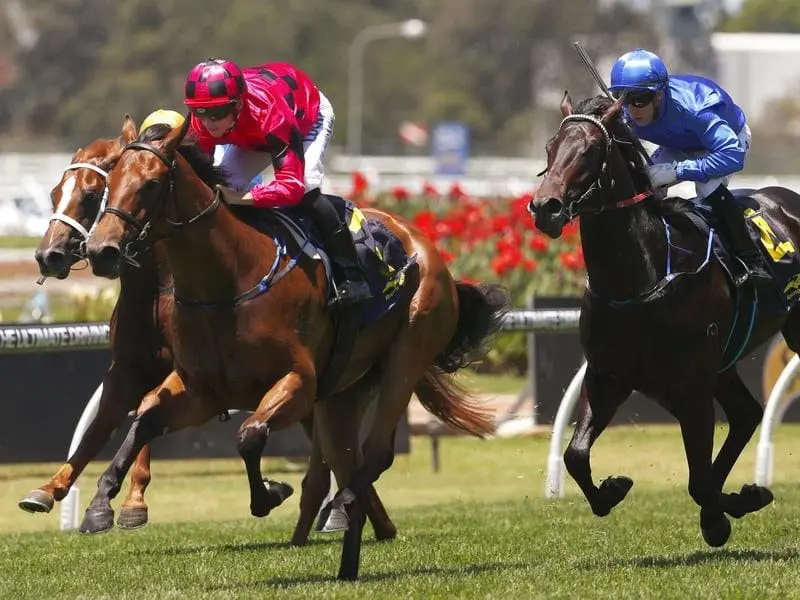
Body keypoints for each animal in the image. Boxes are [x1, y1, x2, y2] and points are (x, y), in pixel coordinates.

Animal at [24, 126, 396, 544]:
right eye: (55, 192)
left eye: (91, 194)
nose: (48, 255)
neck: (159, 285)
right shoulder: (128, 367)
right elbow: (102, 425)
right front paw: (53, 491)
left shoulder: (180, 371)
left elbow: (146, 408)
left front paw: (132, 503)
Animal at [84, 118, 504, 580]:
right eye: (109, 184)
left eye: (151, 184)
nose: (100, 250)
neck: (227, 280)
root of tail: (426, 249)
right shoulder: (202, 393)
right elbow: (144, 420)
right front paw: (100, 504)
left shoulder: (298, 382)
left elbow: (249, 436)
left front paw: (270, 493)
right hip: (344, 392)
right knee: (347, 456)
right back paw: (347, 557)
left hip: (406, 357)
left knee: (375, 455)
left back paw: (340, 505)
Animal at [524, 94, 800, 548]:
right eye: (550, 147)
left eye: (589, 150)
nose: (546, 207)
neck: (641, 278)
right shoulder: (607, 377)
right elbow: (575, 455)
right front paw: (612, 489)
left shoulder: (692, 390)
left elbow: (699, 483)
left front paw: (728, 512)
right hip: (723, 363)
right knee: (746, 414)